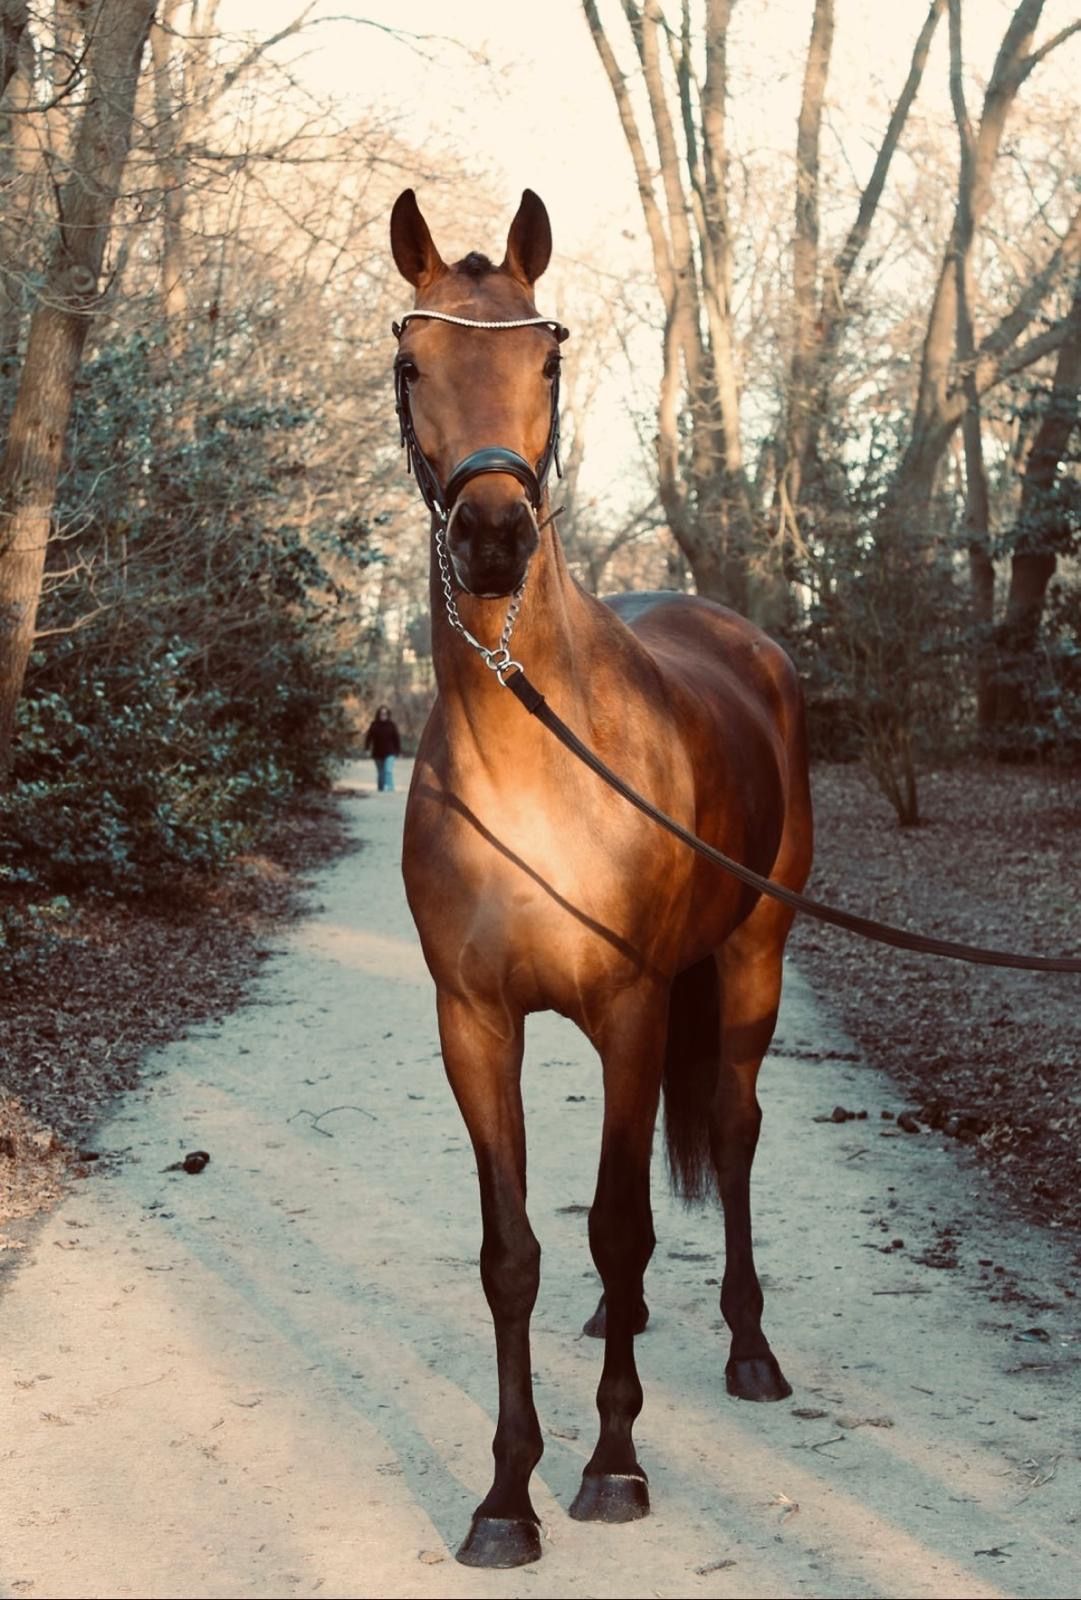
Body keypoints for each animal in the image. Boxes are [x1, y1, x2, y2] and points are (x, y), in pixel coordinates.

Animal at [391, 187, 814, 1569]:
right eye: (413, 364)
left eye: (548, 360)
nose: (490, 535)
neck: (533, 756)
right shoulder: (474, 1025)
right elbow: (515, 1252)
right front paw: (504, 1495)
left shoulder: (632, 1009)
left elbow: (622, 1222)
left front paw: (613, 1465)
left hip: (748, 964)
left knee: (729, 1134)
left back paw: (750, 1348)